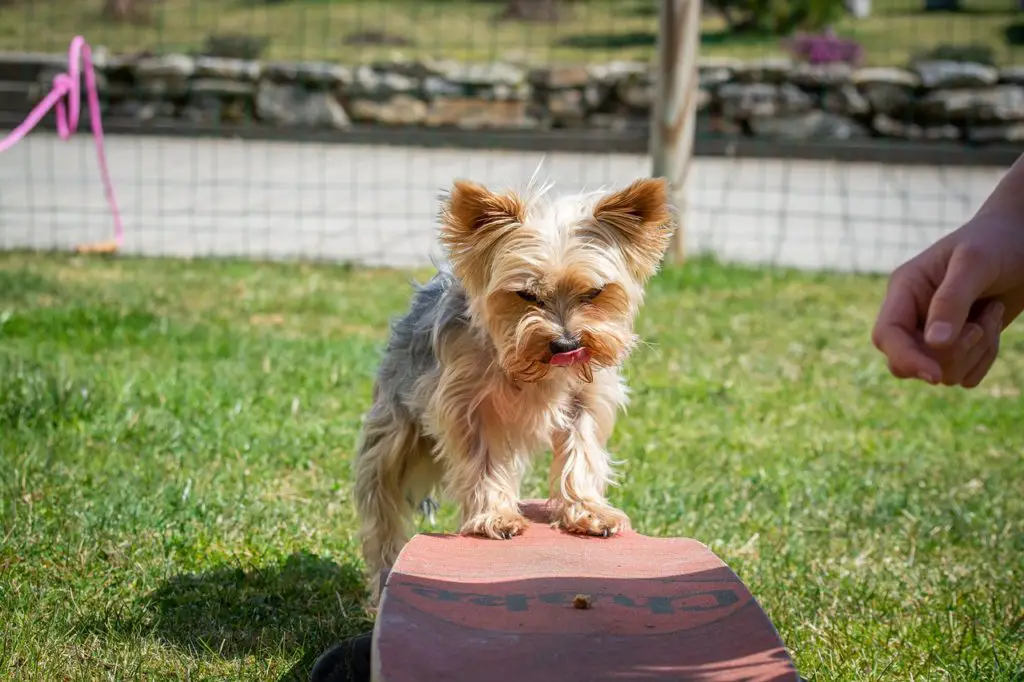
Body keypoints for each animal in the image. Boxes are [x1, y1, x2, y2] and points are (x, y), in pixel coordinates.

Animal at [356, 174, 675, 589]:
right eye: (526, 294)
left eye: (594, 292)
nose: (567, 344)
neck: (536, 367)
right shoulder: (464, 405)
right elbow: (482, 460)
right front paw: (496, 516)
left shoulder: (587, 396)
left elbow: (582, 448)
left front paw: (588, 510)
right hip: (396, 424)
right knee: (382, 496)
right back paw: (382, 575)